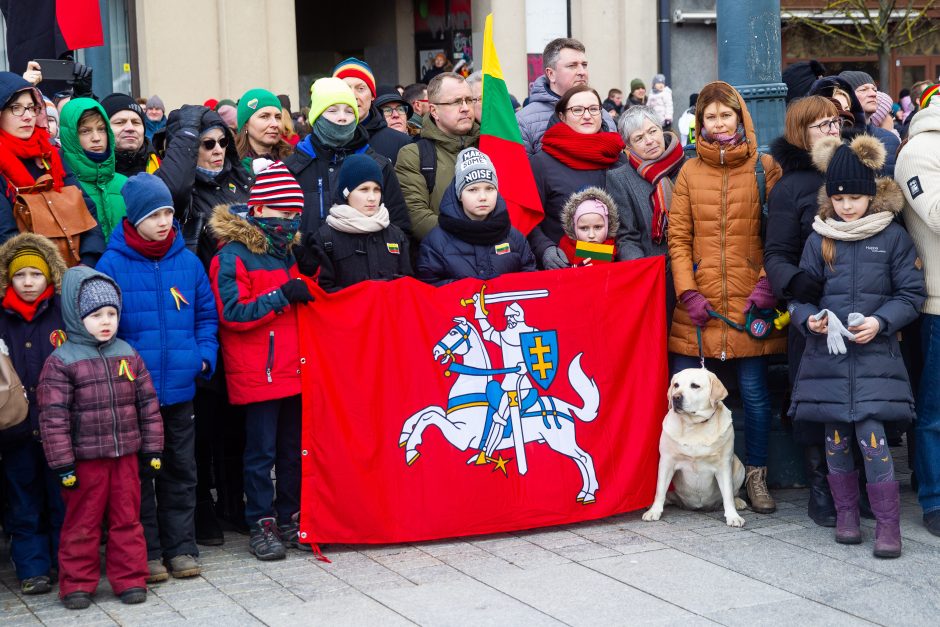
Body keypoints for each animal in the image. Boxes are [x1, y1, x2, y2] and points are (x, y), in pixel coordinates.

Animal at [644, 366, 744, 528]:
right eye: (676, 385)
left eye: (695, 386)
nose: (675, 397)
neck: (694, 425)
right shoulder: (666, 461)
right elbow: (660, 490)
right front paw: (654, 511)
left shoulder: (723, 465)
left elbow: (728, 494)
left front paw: (733, 516)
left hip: (739, 466)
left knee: (734, 492)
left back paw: (739, 502)